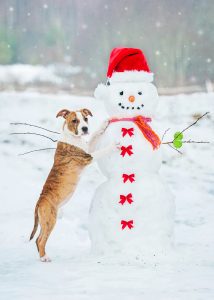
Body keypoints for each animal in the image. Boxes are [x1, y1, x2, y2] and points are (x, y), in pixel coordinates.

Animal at [29, 109, 116, 262]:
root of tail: (39, 201)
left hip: (45, 220)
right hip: (50, 219)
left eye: (86, 119)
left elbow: (94, 135)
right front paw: (115, 145)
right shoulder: (88, 157)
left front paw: (104, 124)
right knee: (40, 239)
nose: (85, 128)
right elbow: (101, 151)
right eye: (74, 120)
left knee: (38, 239)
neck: (72, 137)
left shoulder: (88, 148)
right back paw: (44, 257)